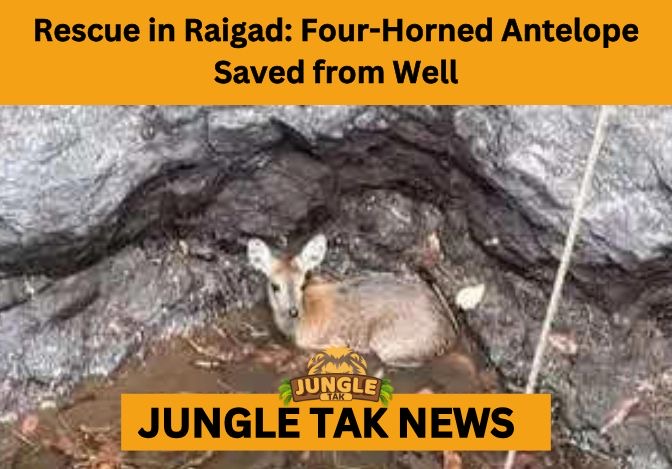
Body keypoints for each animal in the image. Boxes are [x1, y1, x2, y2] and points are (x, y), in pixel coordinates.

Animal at [247, 234, 455, 367]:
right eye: (275, 286)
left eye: (303, 283)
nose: (293, 311)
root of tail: (448, 334)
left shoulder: (329, 341)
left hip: (390, 344)